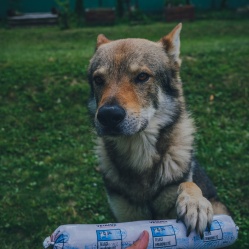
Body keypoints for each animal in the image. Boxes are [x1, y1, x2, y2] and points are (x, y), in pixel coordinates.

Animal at [88, 23, 230, 237]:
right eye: (98, 79)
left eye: (142, 76)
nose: (108, 115)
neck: (140, 157)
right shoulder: (125, 218)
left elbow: (188, 184)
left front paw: (195, 204)